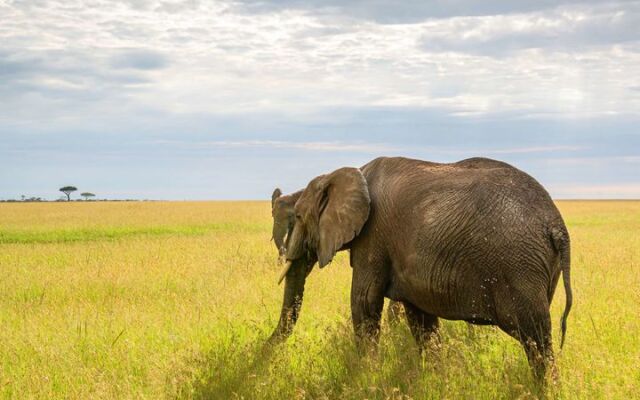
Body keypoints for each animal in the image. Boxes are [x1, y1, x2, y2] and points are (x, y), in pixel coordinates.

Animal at [268, 155, 572, 378]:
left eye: (298, 216)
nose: (261, 355)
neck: (350, 172)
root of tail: (556, 225)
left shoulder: (373, 237)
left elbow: (364, 302)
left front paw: (366, 378)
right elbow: (423, 322)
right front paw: (435, 381)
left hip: (520, 268)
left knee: (537, 340)